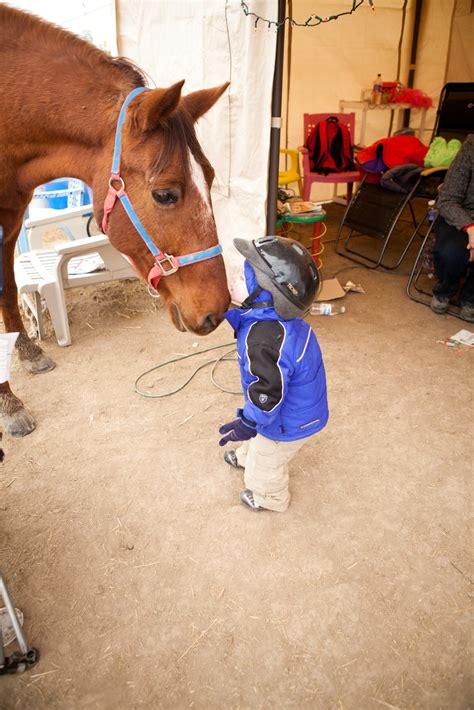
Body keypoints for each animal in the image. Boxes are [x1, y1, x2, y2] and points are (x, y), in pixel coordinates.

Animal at [0, 5, 230, 440]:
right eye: (165, 194)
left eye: (209, 178)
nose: (219, 310)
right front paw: (9, 403)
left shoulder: (9, 221)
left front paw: (24, 355)